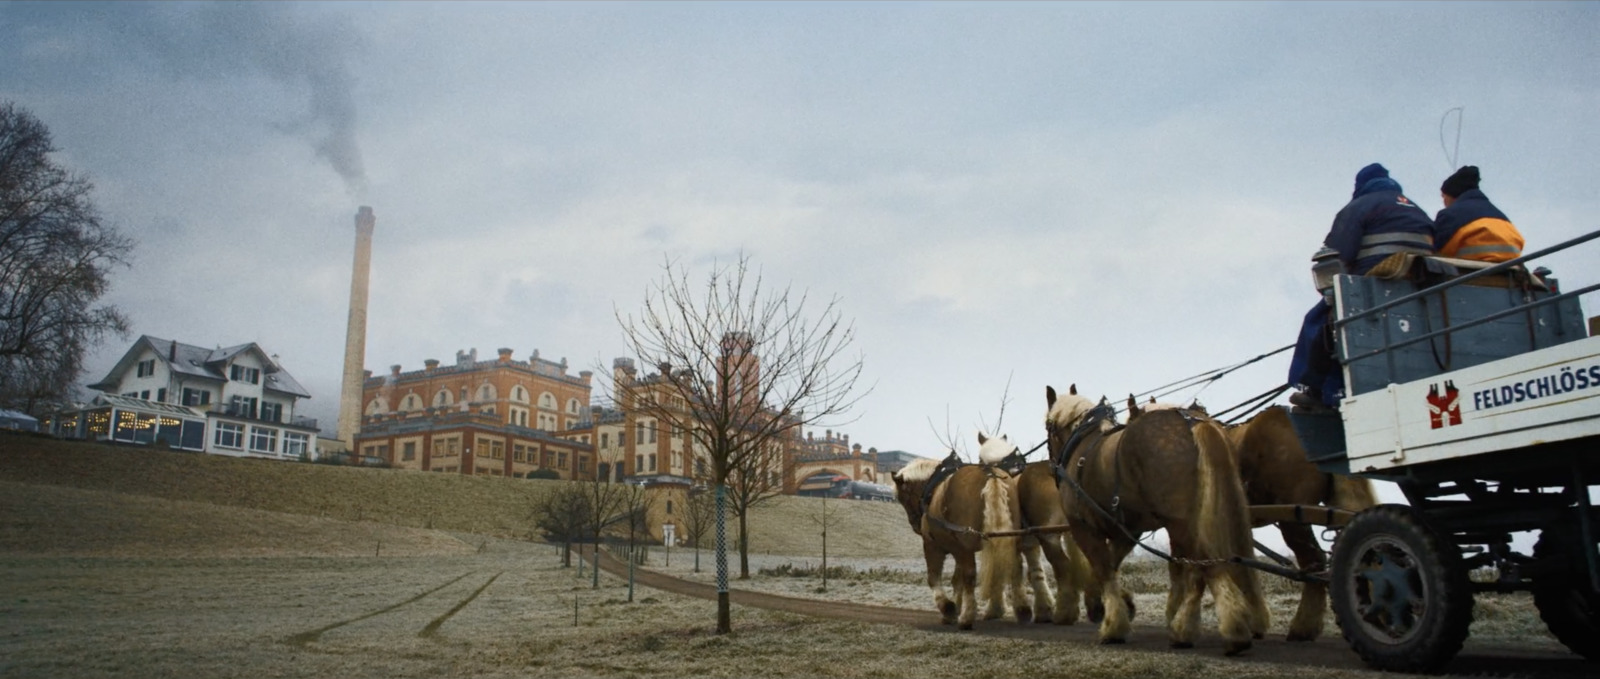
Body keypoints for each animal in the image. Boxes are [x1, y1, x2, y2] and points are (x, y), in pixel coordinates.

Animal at [889, 454, 1024, 627]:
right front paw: (957, 606)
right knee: (1015, 566)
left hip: (965, 544)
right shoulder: (957, 547)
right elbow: (957, 580)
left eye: (902, 497)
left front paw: (949, 608)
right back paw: (1019, 610)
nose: (915, 524)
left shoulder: (934, 545)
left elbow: (934, 578)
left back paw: (967, 617)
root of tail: (991, 474)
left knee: (971, 574)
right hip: (1008, 537)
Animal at [966, 432, 1094, 624]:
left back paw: (1065, 612)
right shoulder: (1029, 543)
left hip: (1050, 535)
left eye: (980, 460)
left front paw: (1012, 609)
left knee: (1063, 565)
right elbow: (1035, 572)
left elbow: (1011, 570)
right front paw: (1043, 609)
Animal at [1043, 384, 1267, 656]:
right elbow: (1111, 565)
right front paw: (1114, 605)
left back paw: (1221, 632)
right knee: (1201, 570)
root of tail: (1192, 422)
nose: (1053, 467)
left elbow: (1104, 569)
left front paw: (1113, 626)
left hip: (1183, 524)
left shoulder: (1083, 529)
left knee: (1204, 568)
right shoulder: (1127, 531)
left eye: (1048, 425)